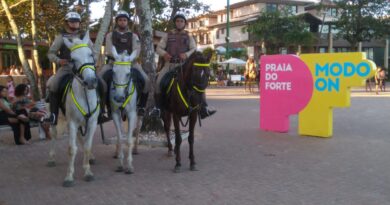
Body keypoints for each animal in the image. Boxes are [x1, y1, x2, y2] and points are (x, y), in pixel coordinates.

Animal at [47, 31, 100, 186]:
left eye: (90, 54)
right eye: (72, 59)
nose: (90, 82)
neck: (84, 95)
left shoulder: (92, 122)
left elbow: (87, 146)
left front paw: (87, 171)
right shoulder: (72, 122)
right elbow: (71, 149)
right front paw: (69, 177)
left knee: (80, 139)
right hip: (56, 117)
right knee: (53, 134)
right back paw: (51, 159)